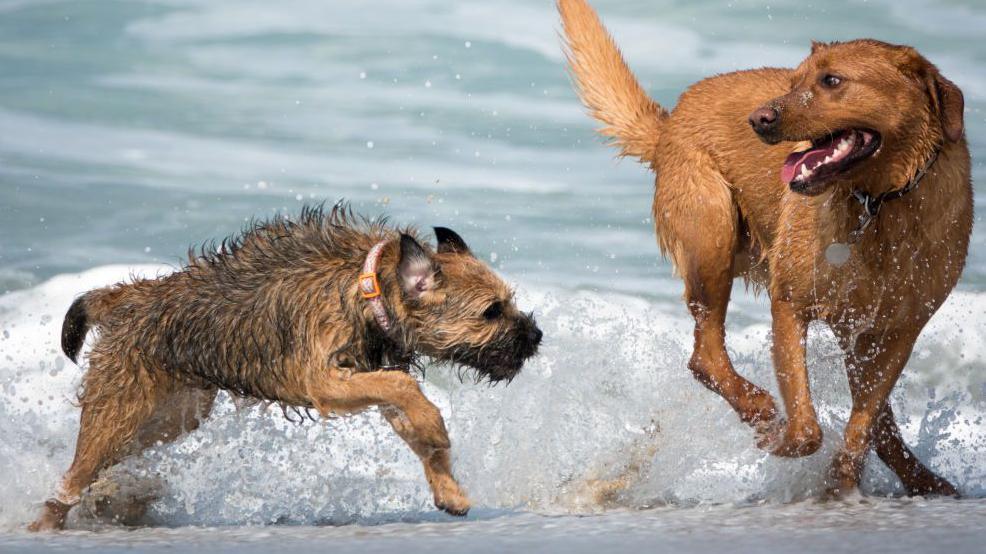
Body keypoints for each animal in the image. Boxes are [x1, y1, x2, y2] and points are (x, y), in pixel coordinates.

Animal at [28, 205, 540, 528]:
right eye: (491, 312)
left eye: (507, 302)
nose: (535, 337)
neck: (368, 285)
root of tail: (134, 296)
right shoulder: (324, 380)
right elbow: (403, 389)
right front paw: (436, 426)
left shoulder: (364, 373)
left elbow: (405, 410)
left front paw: (447, 487)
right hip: (119, 408)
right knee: (74, 475)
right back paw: (46, 523)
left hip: (170, 417)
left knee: (106, 464)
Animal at [556, 0, 972, 494]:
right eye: (795, 81)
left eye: (832, 81)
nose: (759, 119)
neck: (880, 203)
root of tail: (672, 118)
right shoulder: (790, 303)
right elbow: (807, 424)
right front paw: (782, 440)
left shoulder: (895, 334)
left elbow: (863, 423)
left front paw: (840, 482)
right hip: (710, 234)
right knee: (705, 356)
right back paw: (757, 409)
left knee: (878, 421)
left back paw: (924, 481)